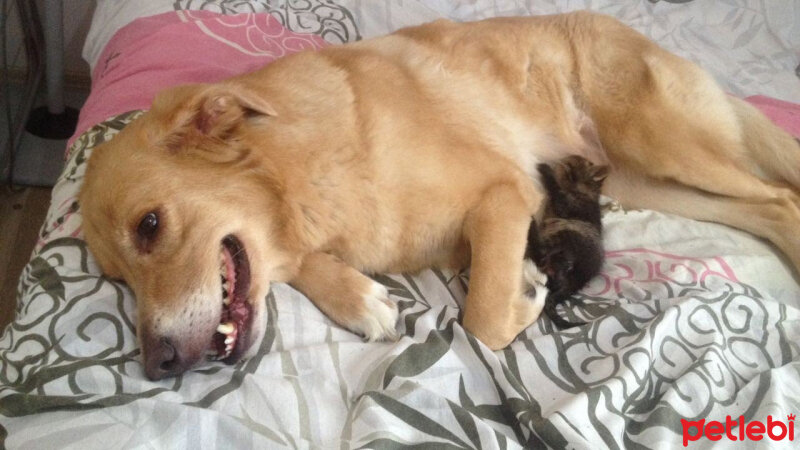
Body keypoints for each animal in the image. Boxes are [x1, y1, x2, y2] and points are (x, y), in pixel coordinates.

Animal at [528, 155, 608, 326]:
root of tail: (577, 281)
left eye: (570, 165)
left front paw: (547, 171)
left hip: (565, 236)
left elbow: (556, 189)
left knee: (541, 254)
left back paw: (531, 225)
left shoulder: (566, 205)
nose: (562, 159)